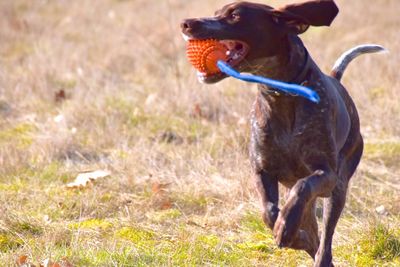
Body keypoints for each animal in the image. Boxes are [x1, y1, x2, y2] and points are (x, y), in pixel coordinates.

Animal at [181, 1, 384, 266]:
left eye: (235, 15)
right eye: (216, 13)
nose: (186, 23)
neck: (281, 93)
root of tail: (336, 80)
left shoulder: (326, 175)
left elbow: (302, 187)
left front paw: (286, 229)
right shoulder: (261, 170)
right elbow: (268, 211)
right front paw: (291, 234)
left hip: (338, 188)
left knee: (325, 239)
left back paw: (318, 253)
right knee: (313, 233)